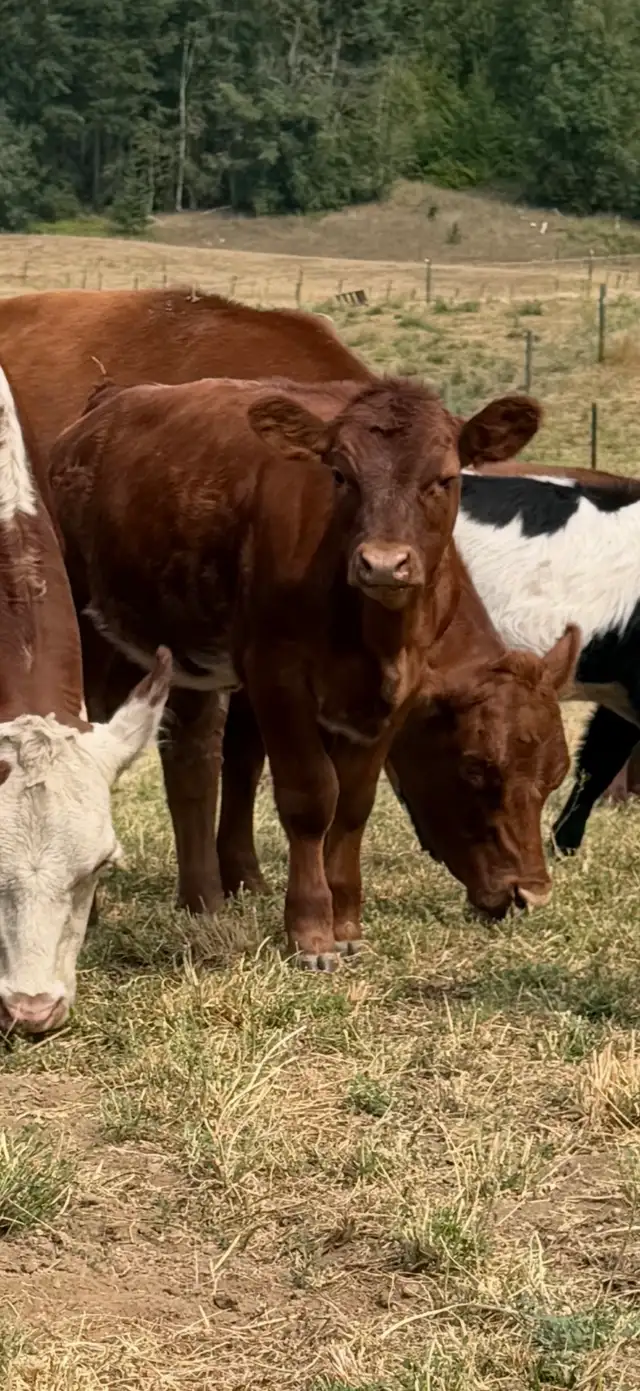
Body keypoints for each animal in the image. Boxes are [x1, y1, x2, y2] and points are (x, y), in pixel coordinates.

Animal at [48, 374, 576, 962]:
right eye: (474, 769)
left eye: (444, 478)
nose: (529, 891)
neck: (375, 635)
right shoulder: (277, 674)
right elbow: (310, 796)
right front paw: (310, 930)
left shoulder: (399, 690)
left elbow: (353, 801)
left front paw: (345, 920)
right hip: (92, 632)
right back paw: (96, 910)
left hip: (188, 652)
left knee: (193, 760)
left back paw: (203, 903)